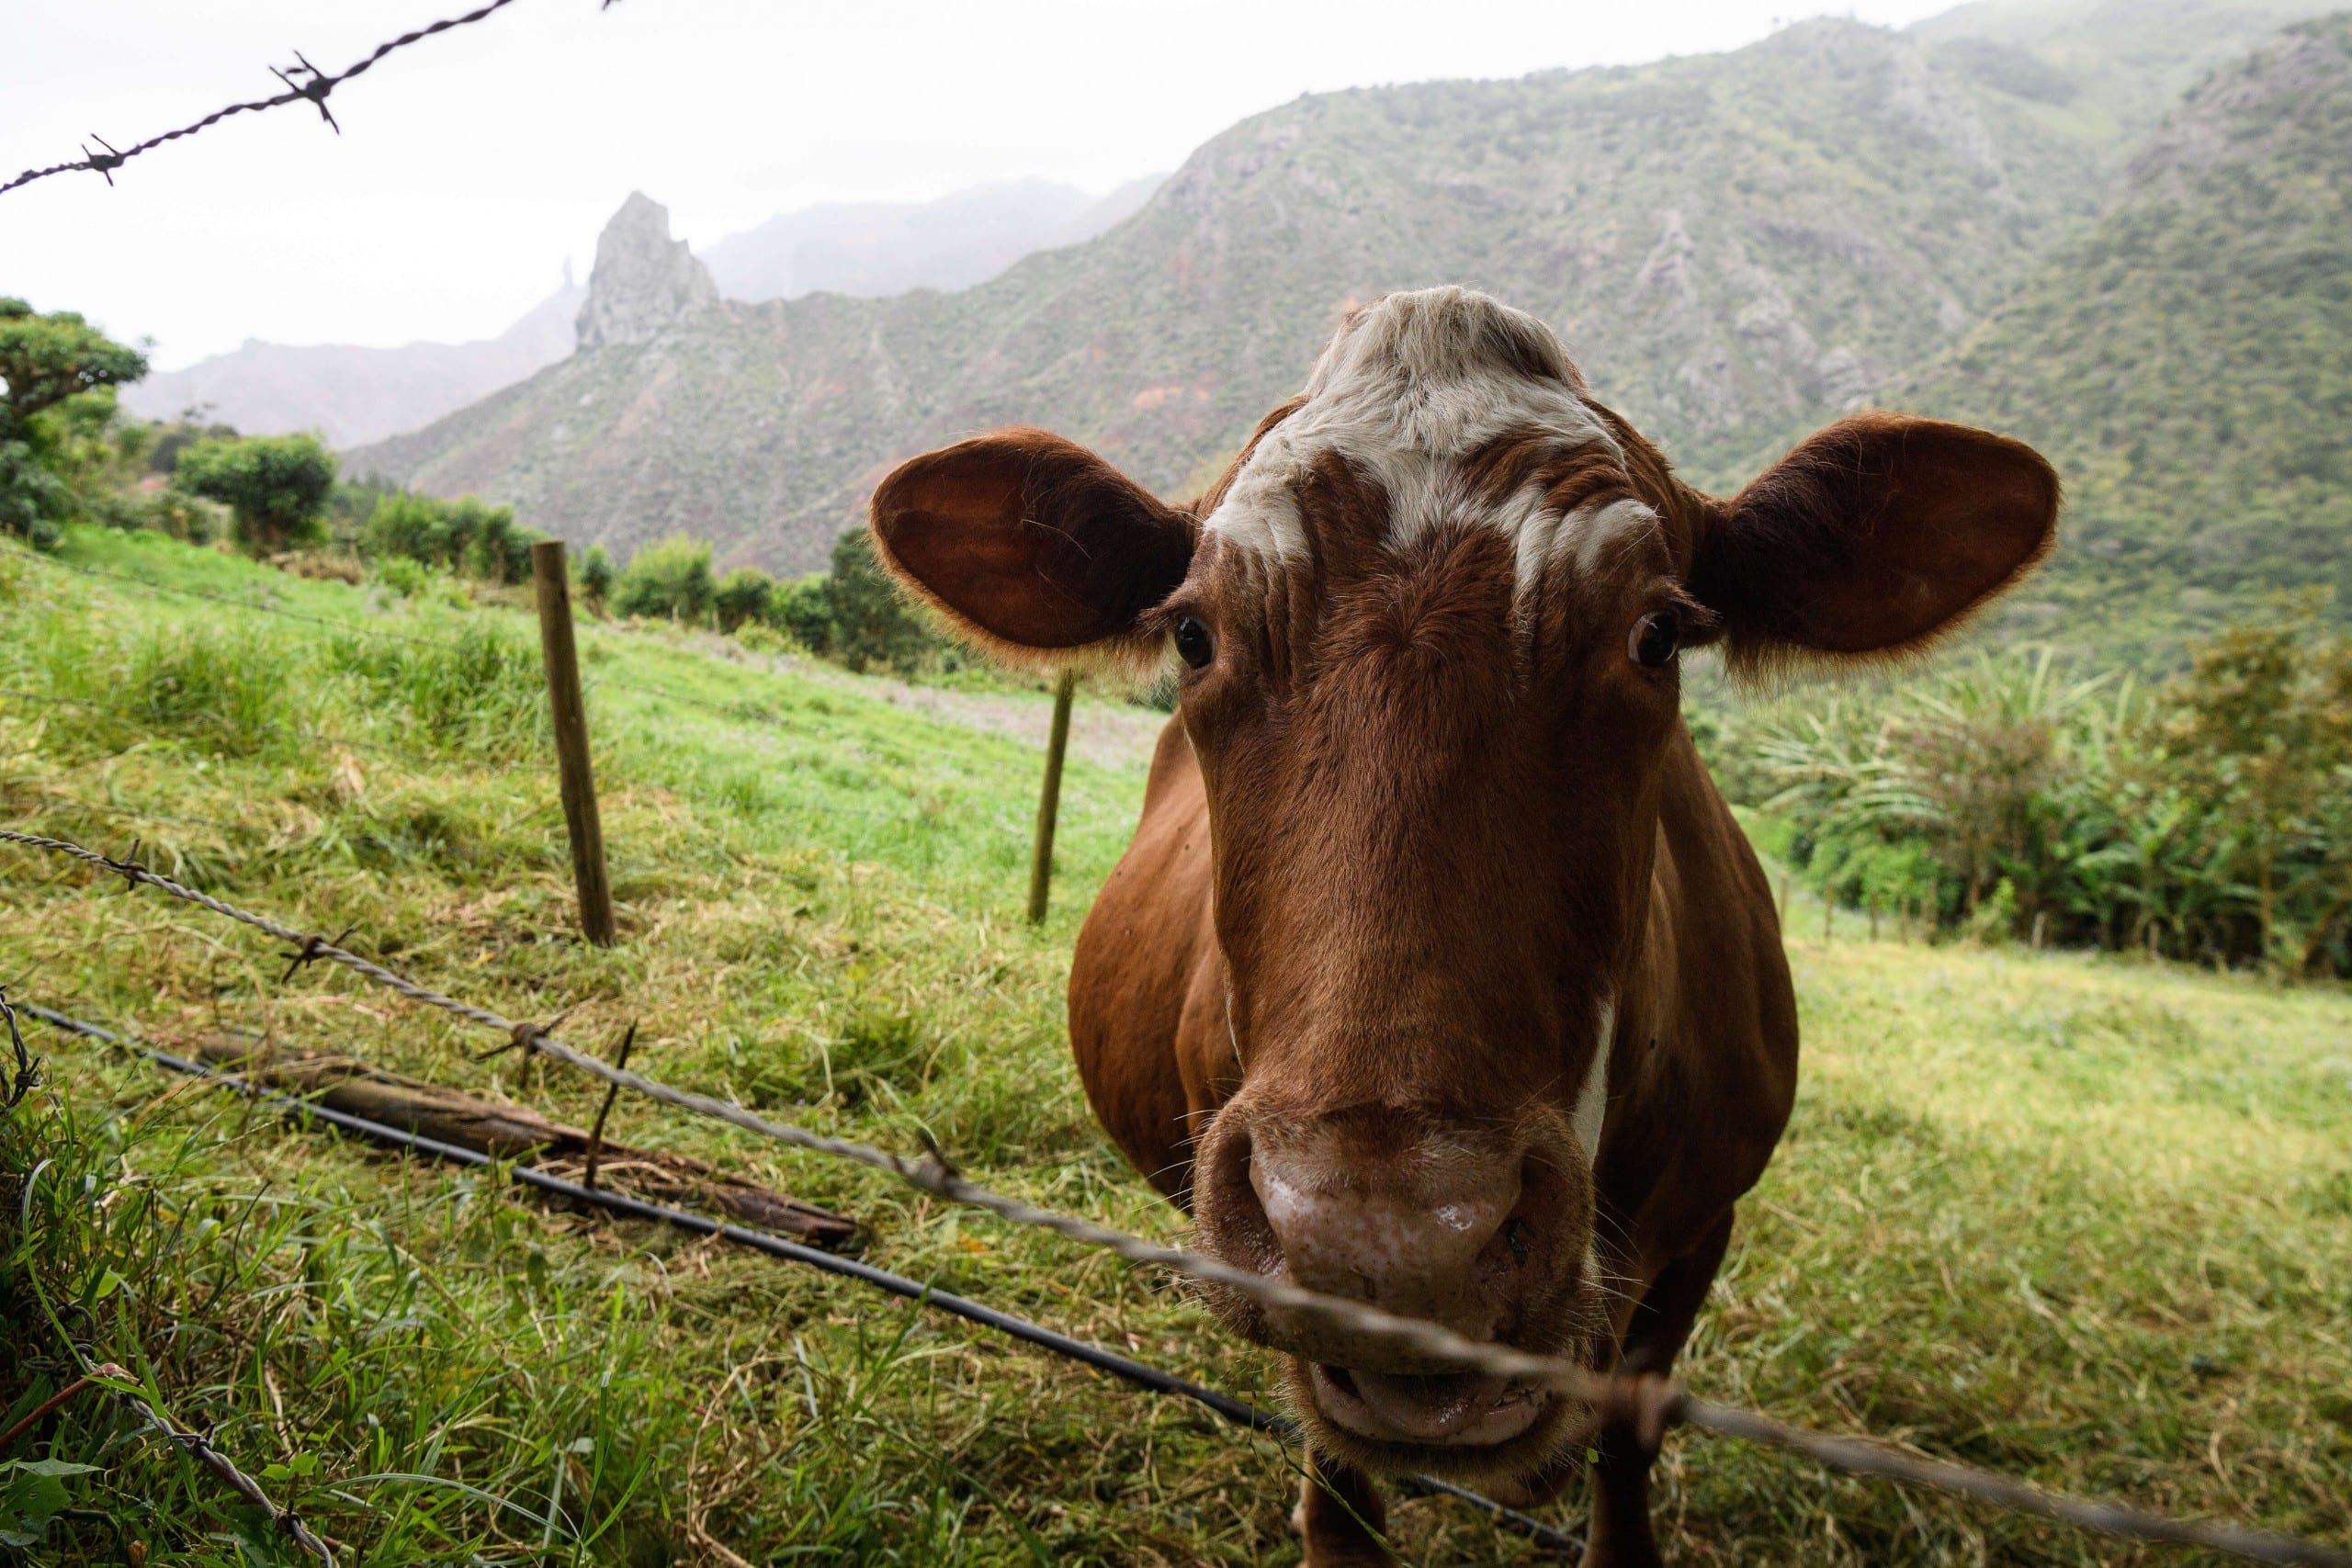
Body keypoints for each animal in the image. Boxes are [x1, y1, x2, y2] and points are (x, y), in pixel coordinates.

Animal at [870, 288, 2060, 1561]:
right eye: (1192, 634)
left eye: (1656, 635)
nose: (1388, 1242)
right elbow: (1337, 1479)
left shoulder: (1705, 1227)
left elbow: (1629, 1440)